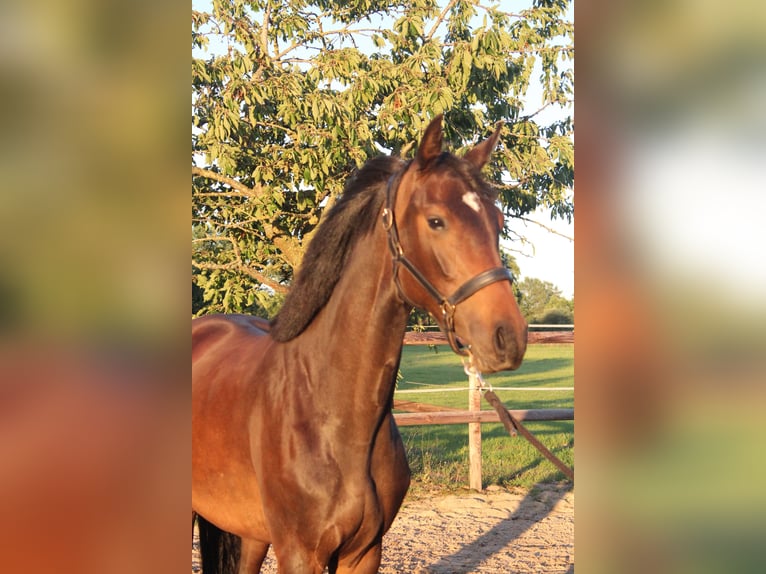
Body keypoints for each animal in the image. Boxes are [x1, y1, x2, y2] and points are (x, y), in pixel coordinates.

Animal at [192, 114, 528, 573]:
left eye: (497, 221)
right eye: (436, 221)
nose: (508, 337)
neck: (330, 415)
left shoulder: (365, 552)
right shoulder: (299, 554)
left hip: (246, 534)